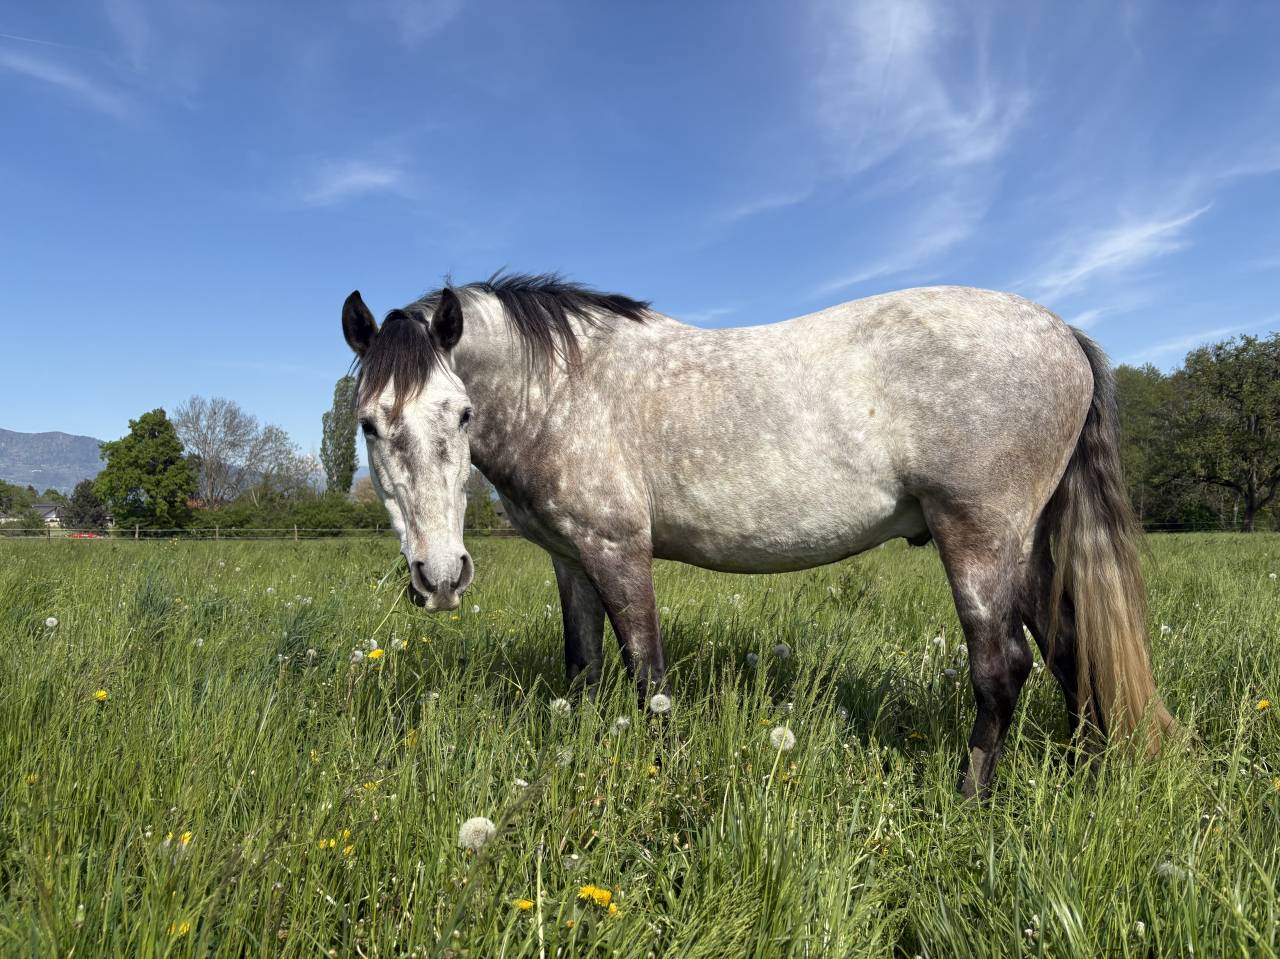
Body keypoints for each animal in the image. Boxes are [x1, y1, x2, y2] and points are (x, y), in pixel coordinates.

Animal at [341, 273, 1174, 796]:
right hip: (1022, 548)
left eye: (460, 412)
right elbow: (582, 670)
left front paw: (661, 777)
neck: (568, 387)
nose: (439, 577)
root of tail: (1062, 332)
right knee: (1070, 647)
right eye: (370, 424)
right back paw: (1087, 768)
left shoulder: (617, 549)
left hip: (979, 536)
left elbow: (647, 677)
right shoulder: (569, 559)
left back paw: (971, 797)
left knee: (1003, 668)